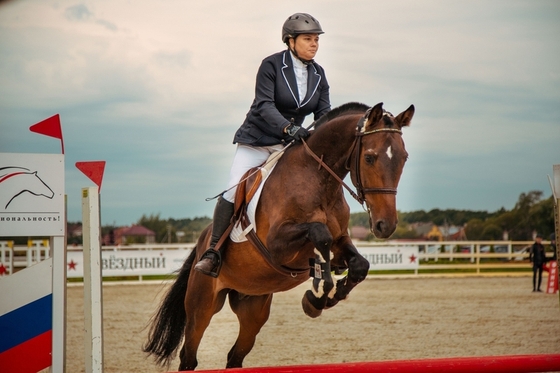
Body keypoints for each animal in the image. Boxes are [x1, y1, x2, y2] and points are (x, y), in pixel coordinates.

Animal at [143, 101, 416, 370]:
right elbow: (320, 234)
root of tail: (202, 243)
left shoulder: (340, 241)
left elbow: (359, 264)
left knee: (235, 356)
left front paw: (333, 293)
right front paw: (318, 295)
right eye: (369, 157)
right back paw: (209, 262)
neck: (318, 179)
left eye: (404, 158)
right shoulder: (276, 246)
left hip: (253, 308)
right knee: (189, 356)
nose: (385, 225)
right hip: (202, 306)